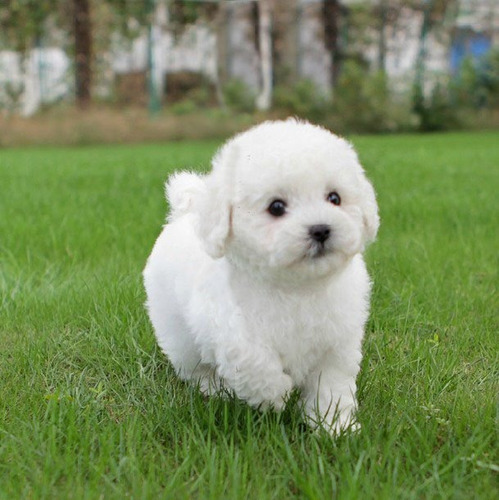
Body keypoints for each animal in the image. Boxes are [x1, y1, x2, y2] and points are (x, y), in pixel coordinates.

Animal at [144, 118, 378, 434]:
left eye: (334, 198)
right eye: (276, 207)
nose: (321, 229)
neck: (297, 289)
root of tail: (186, 212)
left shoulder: (336, 344)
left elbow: (330, 386)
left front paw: (334, 426)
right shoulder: (229, 327)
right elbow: (254, 360)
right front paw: (276, 395)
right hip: (178, 333)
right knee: (196, 367)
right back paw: (215, 389)